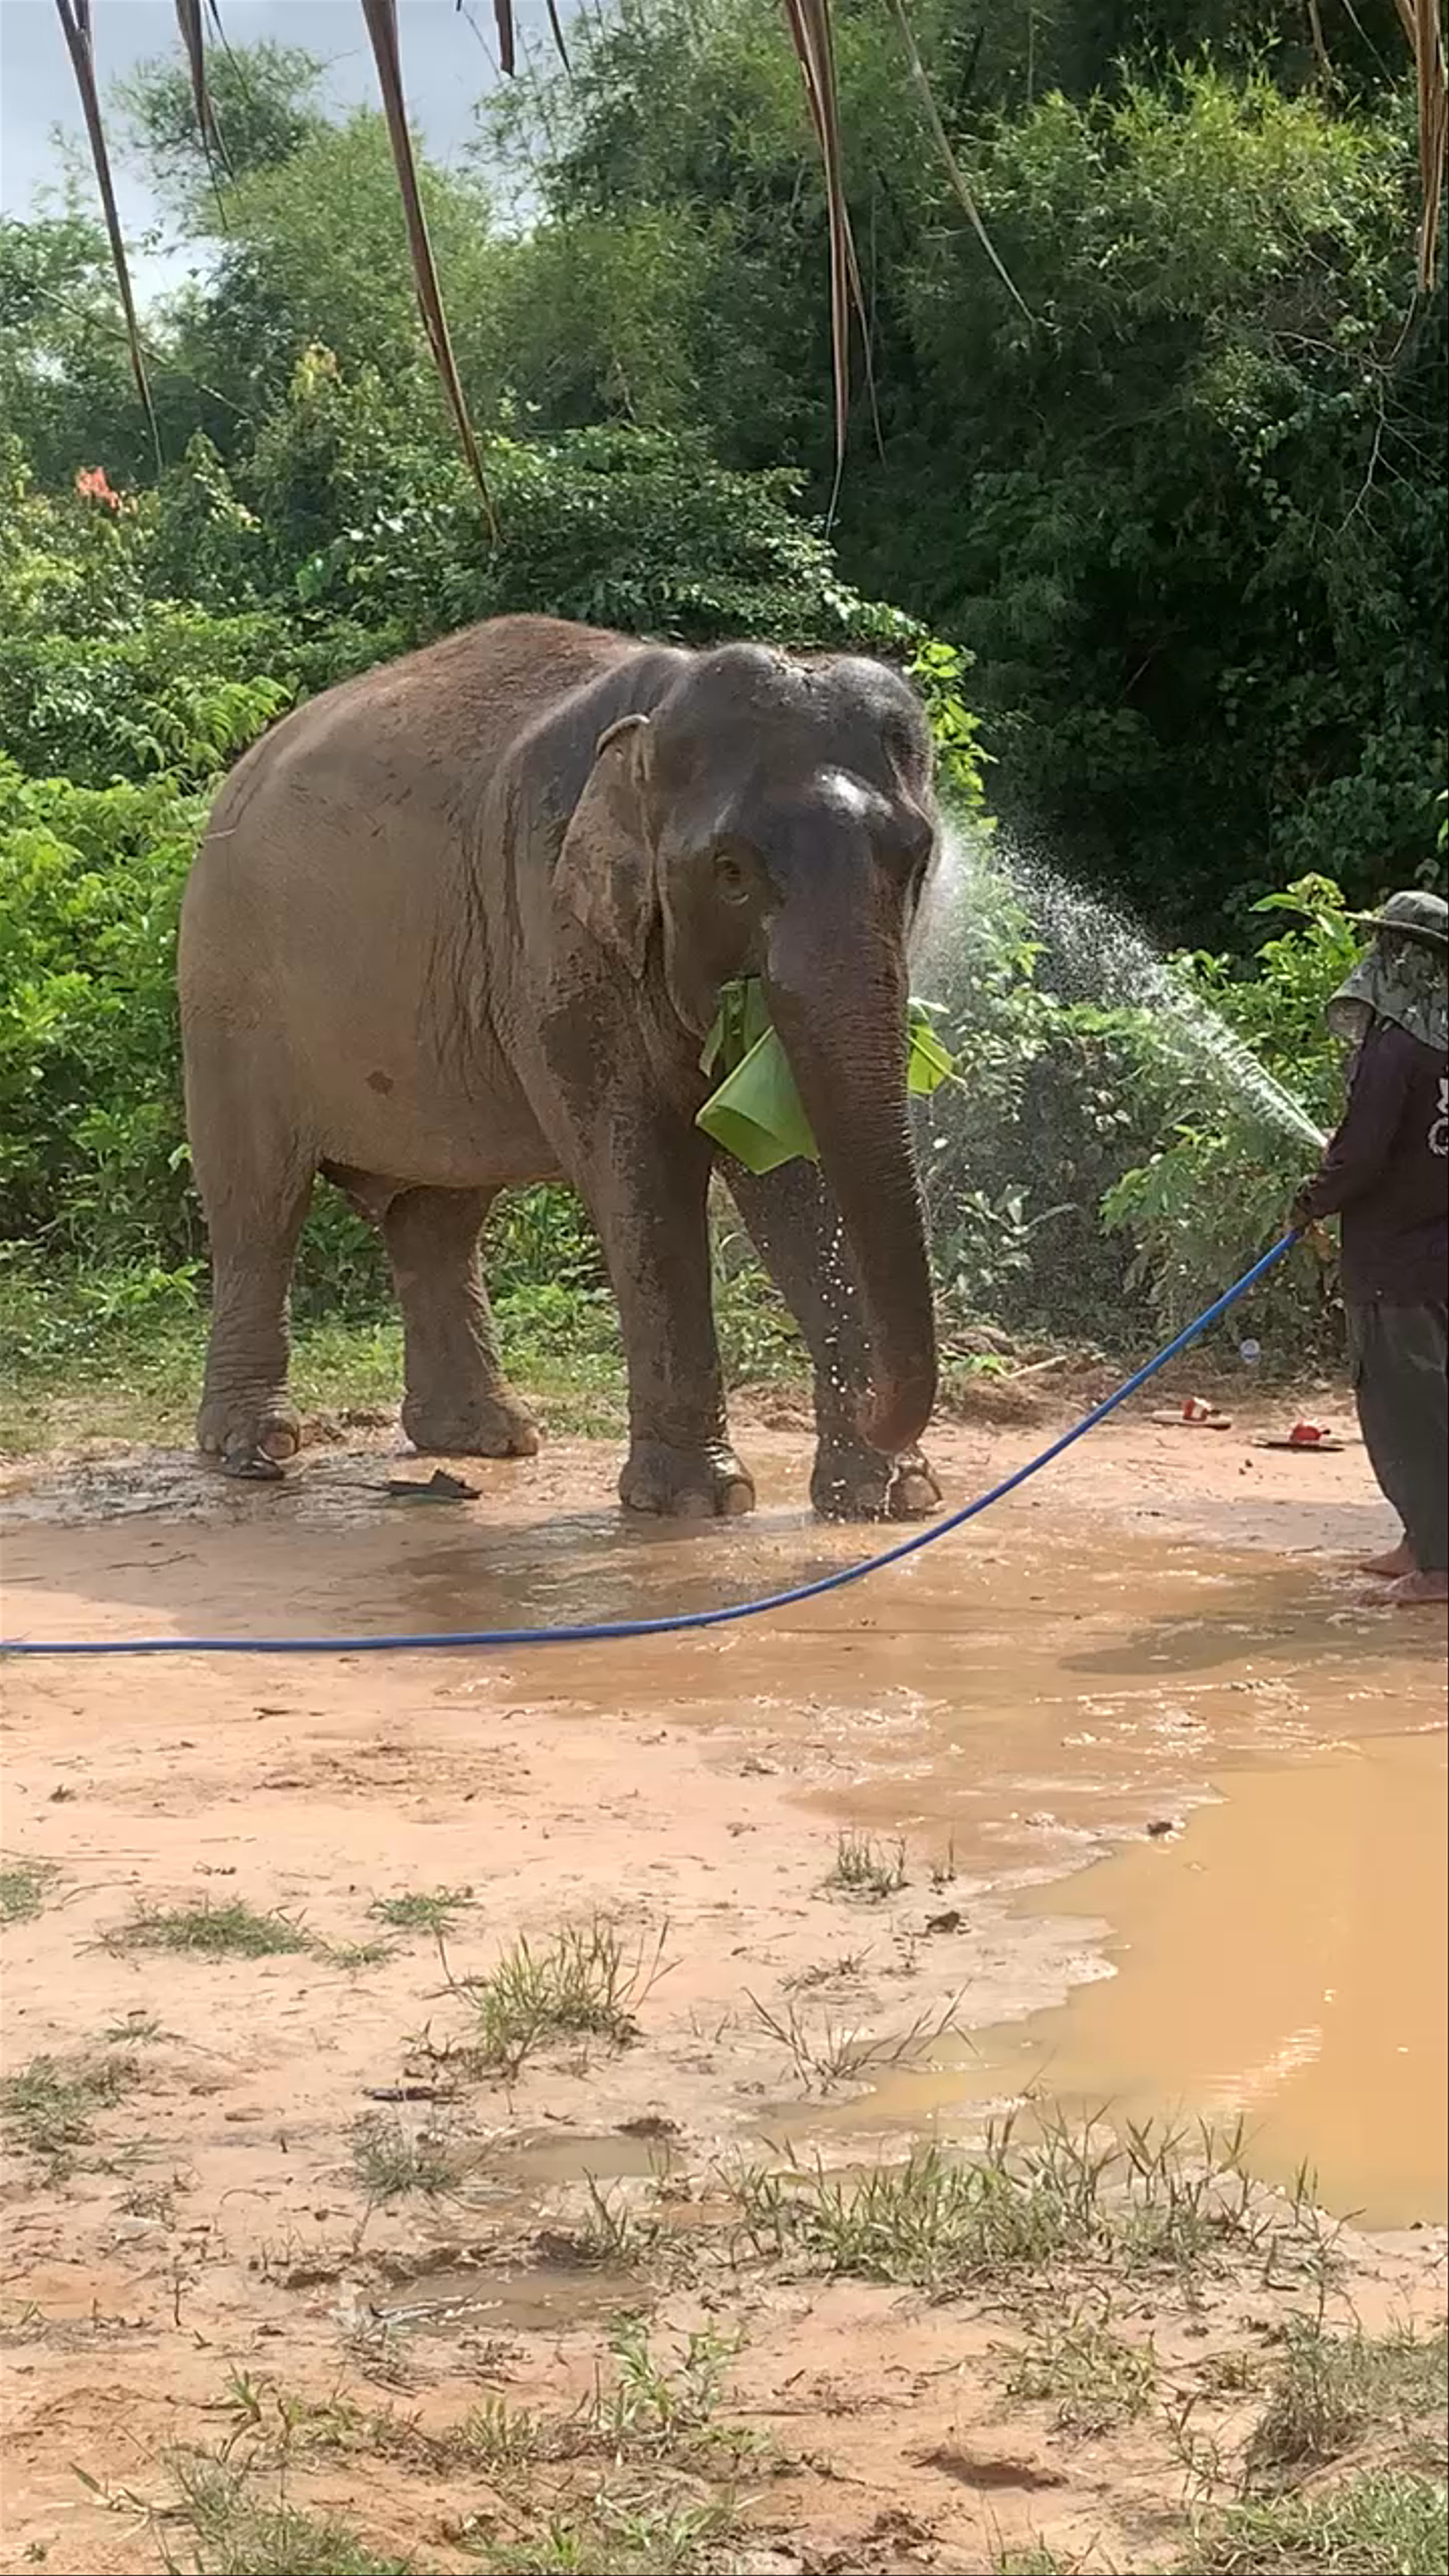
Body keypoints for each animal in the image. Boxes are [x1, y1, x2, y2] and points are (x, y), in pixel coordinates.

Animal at [178, 613, 945, 1521]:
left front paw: (893, 1498)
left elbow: (794, 1177)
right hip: (229, 997)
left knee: (439, 1216)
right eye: (731, 871)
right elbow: (641, 1173)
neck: (657, 710)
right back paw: (254, 1448)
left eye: (916, 858)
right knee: (258, 1203)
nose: (881, 1412)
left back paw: (485, 1437)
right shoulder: (556, 931)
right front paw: (697, 1503)